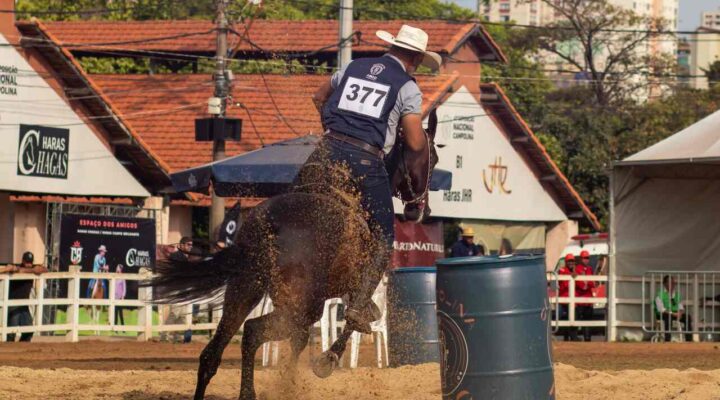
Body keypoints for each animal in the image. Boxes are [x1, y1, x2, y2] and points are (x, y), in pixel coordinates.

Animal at [148, 109, 439, 400]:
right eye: (432, 158)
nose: (421, 210)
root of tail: (270, 224)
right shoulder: (345, 294)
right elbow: (351, 321)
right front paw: (327, 360)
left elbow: (302, 340)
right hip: (302, 305)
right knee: (252, 331)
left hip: (245, 290)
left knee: (213, 352)